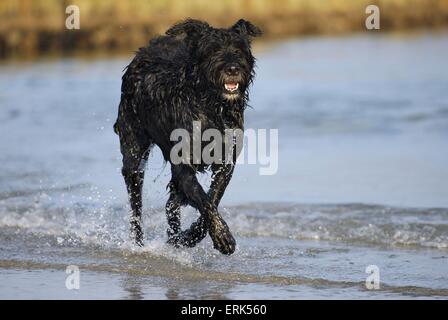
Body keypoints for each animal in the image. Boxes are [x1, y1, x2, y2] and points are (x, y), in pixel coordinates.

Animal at [113, 19, 262, 255]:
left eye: (239, 50)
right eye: (214, 50)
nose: (233, 69)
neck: (211, 107)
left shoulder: (225, 162)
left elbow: (213, 198)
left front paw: (192, 236)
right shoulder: (183, 164)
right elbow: (203, 199)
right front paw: (222, 236)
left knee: (171, 204)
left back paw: (176, 239)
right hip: (134, 154)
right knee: (136, 205)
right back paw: (139, 244)